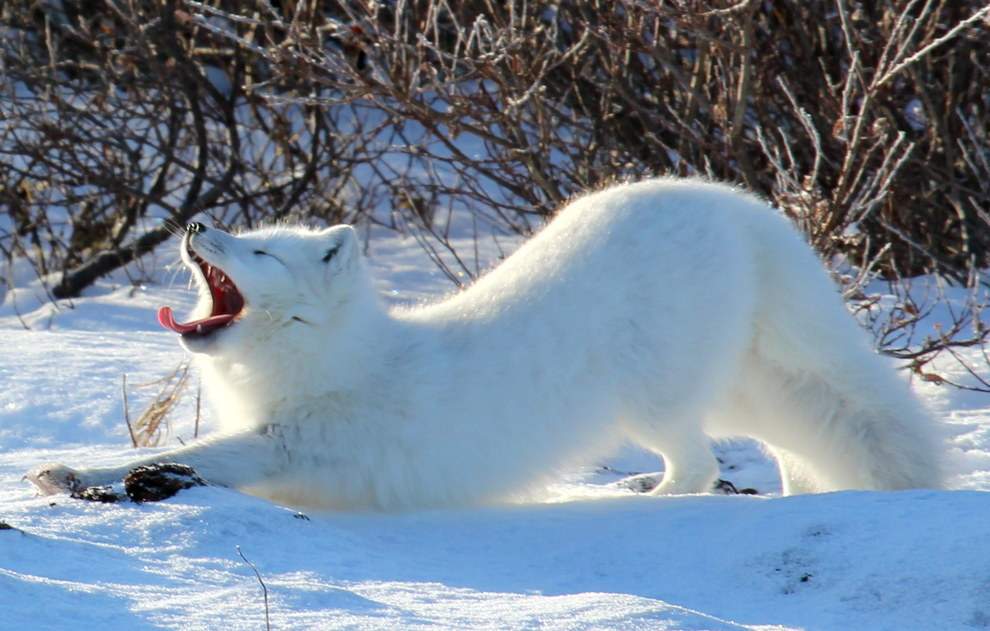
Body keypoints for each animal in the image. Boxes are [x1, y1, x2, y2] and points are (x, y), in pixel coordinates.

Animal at [28, 178, 944, 508]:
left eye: (259, 253)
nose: (195, 223)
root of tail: (739, 206)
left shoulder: (295, 443)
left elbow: (196, 459)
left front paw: (106, 475)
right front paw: (65, 466)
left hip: (650, 398)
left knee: (696, 464)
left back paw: (644, 497)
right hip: (743, 386)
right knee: (786, 447)